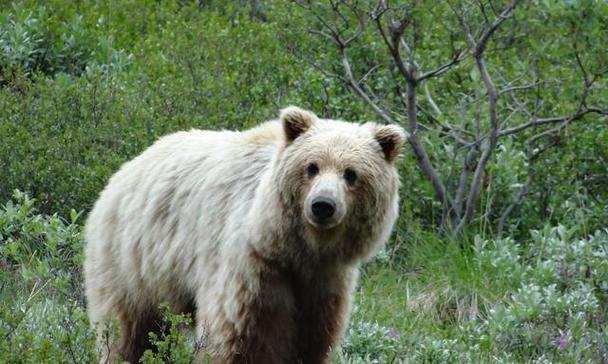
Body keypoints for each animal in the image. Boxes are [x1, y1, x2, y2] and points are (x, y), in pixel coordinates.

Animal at [83, 104, 406, 362]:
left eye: (351, 174)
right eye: (311, 167)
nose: (322, 205)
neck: (297, 249)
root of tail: (123, 170)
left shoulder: (325, 282)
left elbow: (312, 340)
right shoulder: (251, 268)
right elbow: (239, 337)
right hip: (132, 262)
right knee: (128, 333)